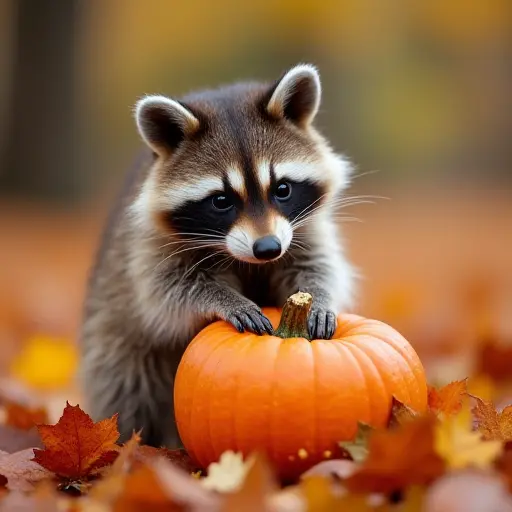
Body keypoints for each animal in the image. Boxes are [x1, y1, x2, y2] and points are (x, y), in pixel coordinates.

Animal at [81, 64, 360, 448]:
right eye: (221, 201)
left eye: (282, 189)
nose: (268, 248)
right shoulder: (150, 246)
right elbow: (167, 293)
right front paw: (225, 298)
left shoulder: (304, 228)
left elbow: (318, 265)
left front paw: (319, 297)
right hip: (113, 336)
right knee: (127, 385)